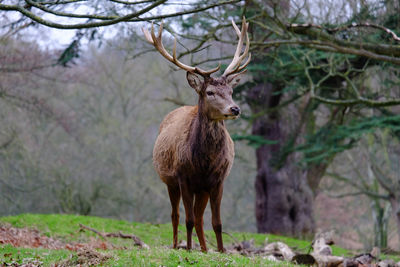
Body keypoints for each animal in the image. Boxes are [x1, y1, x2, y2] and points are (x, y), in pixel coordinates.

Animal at [143, 17, 250, 253]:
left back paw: (204, 248)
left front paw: (220, 250)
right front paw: (188, 248)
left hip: (202, 190)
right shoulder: (183, 177)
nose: (235, 109)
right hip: (170, 182)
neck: (205, 162)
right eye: (210, 92)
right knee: (175, 215)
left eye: (231, 92)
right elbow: (188, 219)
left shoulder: (218, 180)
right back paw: (177, 245)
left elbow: (217, 222)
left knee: (200, 218)